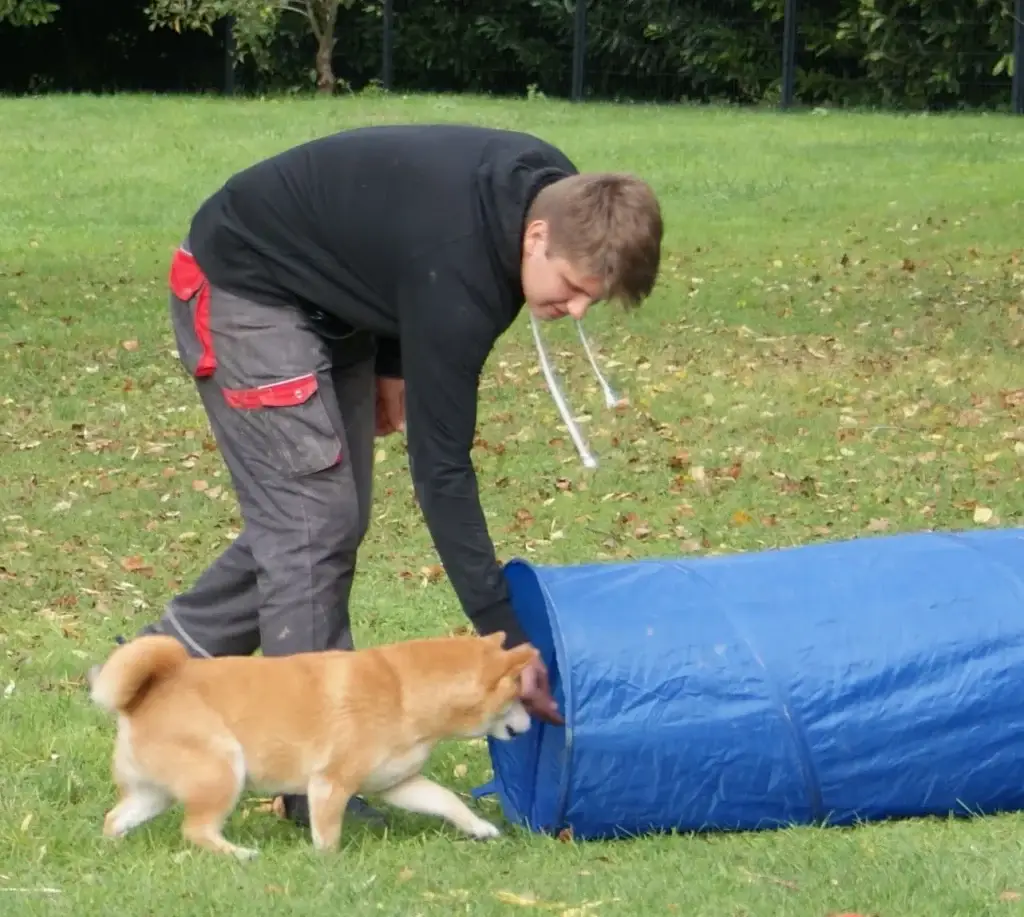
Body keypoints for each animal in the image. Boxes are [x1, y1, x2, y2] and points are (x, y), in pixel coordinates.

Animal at [89, 630, 540, 859]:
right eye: (519, 694)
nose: (531, 723)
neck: (401, 691)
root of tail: (143, 697)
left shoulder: (399, 783)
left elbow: (447, 801)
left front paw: (479, 827)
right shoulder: (329, 784)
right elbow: (328, 835)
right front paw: (330, 866)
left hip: (155, 794)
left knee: (115, 818)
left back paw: (113, 849)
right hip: (223, 772)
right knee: (195, 830)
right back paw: (239, 854)